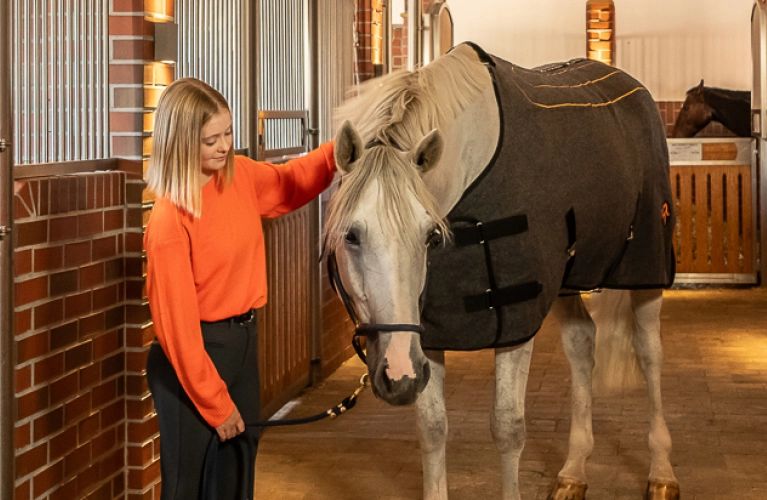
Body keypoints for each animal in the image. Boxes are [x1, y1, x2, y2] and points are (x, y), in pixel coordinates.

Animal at [323, 42, 679, 500]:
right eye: (351, 235)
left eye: (428, 236)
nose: (398, 374)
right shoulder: (430, 334)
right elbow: (432, 428)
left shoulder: (514, 321)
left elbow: (508, 427)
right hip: (564, 281)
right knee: (582, 344)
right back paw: (573, 472)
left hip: (646, 269)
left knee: (650, 354)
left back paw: (662, 473)